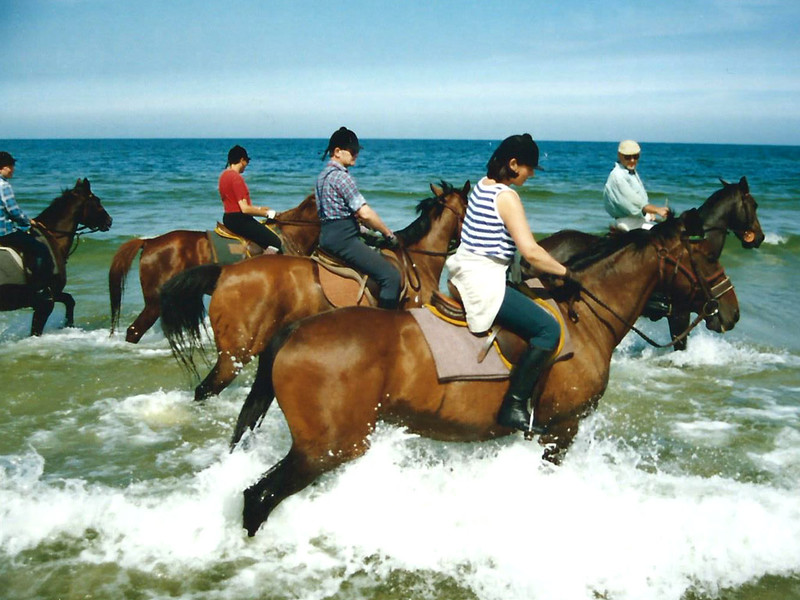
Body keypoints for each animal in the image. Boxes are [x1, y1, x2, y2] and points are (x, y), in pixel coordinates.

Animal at [0, 178, 112, 338]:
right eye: (97, 201)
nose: (109, 220)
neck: (52, 239)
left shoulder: (55, 293)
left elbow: (70, 300)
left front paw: (68, 326)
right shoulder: (46, 302)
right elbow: (36, 330)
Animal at [230, 210, 736, 536]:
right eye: (709, 259)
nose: (730, 312)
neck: (584, 318)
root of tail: (296, 330)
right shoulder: (562, 430)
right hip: (326, 449)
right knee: (258, 499)